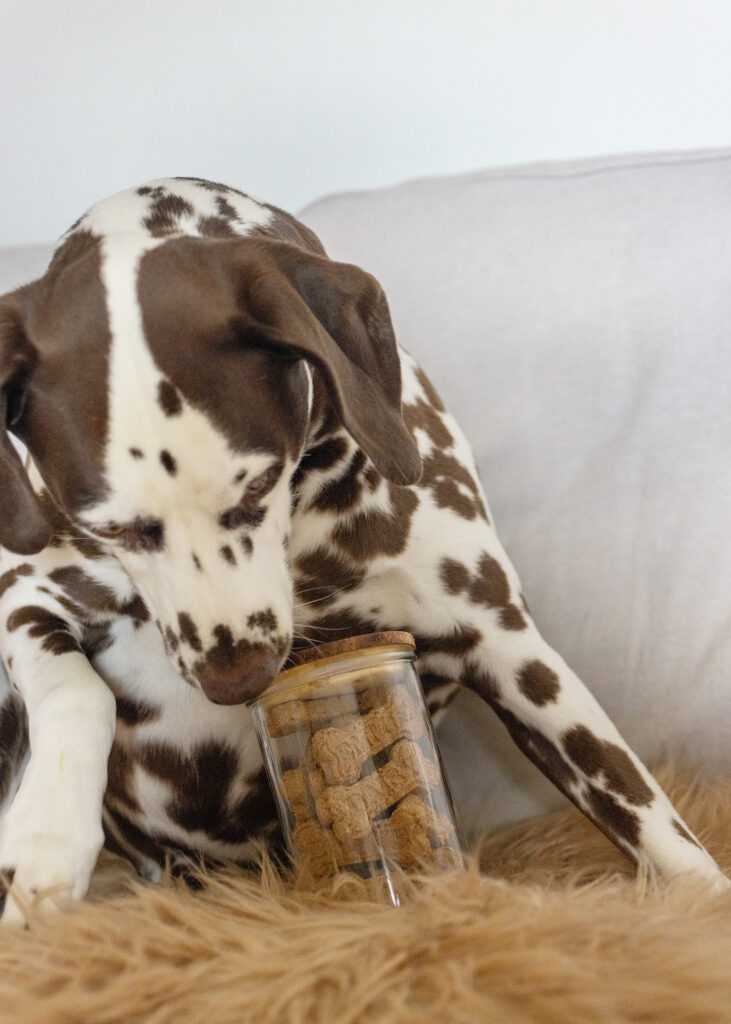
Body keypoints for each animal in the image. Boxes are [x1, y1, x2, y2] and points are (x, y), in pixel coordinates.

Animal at [0, 180, 724, 925]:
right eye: (112, 529)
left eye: (257, 483)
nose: (237, 682)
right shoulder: (26, 598)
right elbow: (77, 687)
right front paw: (48, 839)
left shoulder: (508, 649)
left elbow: (642, 807)